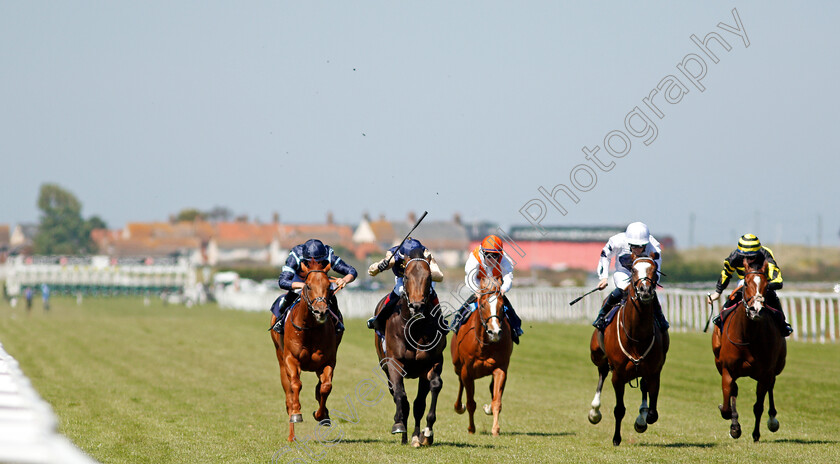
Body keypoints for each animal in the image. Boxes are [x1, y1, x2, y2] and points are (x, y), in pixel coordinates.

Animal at [270, 260, 342, 444]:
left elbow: (325, 387)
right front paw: (297, 413)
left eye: (329, 286)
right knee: (288, 394)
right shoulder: (291, 359)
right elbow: (296, 384)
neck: (310, 329)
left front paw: (321, 415)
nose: (321, 311)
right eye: (308, 286)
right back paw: (292, 434)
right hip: (281, 361)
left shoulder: (328, 361)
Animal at [374, 248, 446, 448]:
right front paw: (398, 424)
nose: (417, 306)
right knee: (397, 395)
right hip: (384, 365)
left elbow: (431, 390)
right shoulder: (394, 362)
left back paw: (413, 436)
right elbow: (400, 394)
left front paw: (426, 433)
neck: (415, 327)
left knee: (417, 403)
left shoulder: (433, 362)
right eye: (405, 276)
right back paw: (404, 433)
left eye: (429, 277)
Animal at [452, 276, 512, 436]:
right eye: (484, 305)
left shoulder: (500, 368)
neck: (484, 344)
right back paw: (458, 407)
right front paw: (471, 429)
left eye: (502, 305)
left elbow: (497, 401)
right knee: (460, 383)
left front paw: (495, 428)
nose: (495, 332)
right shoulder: (467, 371)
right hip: (457, 366)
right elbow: (470, 403)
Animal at [588, 254, 672, 446]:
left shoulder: (654, 372)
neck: (637, 336)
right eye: (633, 270)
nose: (645, 290)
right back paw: (595, 412)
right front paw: (616, 438)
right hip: (597, 355)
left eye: (654, 269)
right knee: (602, 373)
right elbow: (619, 409)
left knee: (643, 387)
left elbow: (653, 413)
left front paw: (642, 420)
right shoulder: (618, 375)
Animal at [712, 260, 784, 442]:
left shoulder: (765, 373)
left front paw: (756, 433)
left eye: (766, 285)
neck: (748, 336)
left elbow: (758, 406)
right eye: (745, 283)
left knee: (771, 386)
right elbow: (727, 401)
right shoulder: (727, 370)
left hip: (776, 368)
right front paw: (734, 427)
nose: (755, 310)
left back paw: (772, 419)